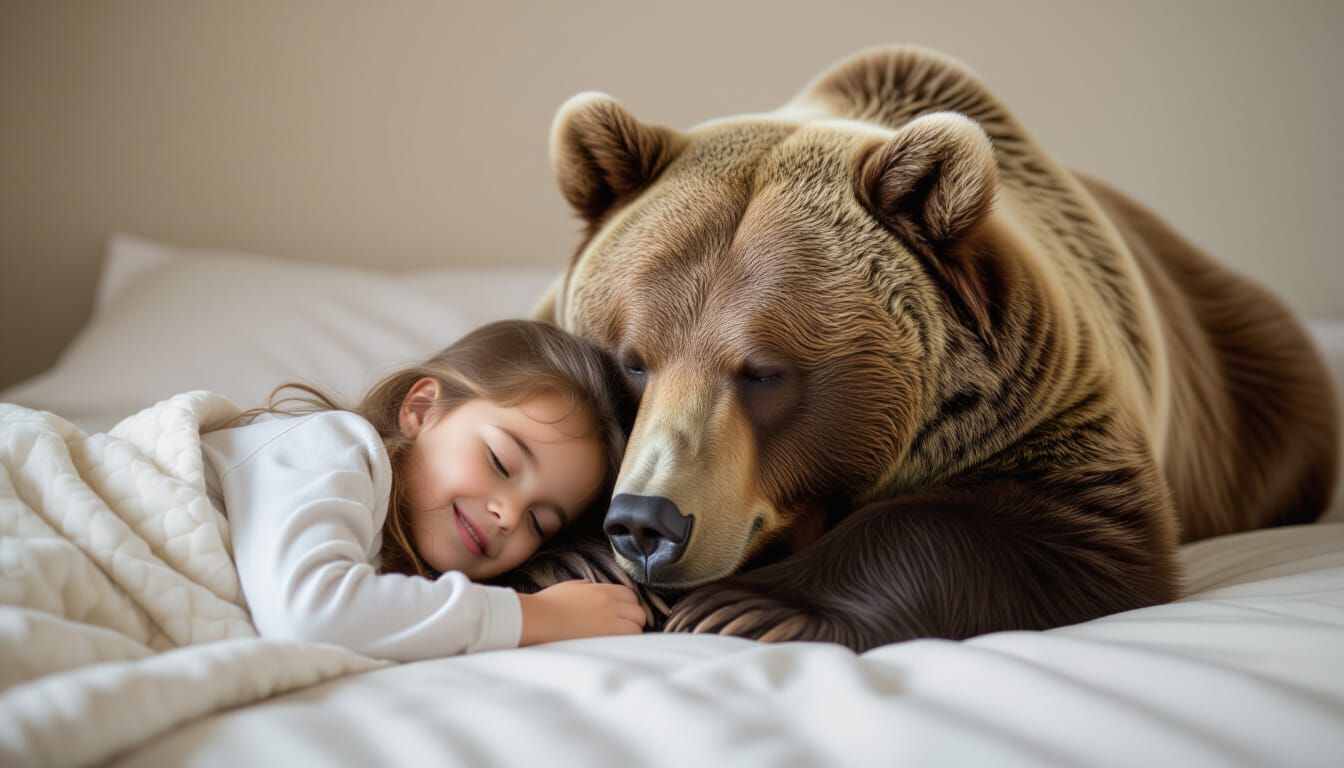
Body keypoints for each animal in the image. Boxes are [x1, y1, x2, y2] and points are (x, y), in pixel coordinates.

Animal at [519, 45, 1340, 651]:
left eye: (764, 372)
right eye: (632, 360)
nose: (645, 523)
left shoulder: (1049, 403)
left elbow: (1061, 525)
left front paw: (747, 606)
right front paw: (573, 554)